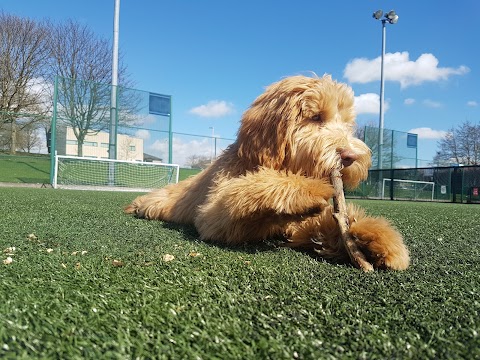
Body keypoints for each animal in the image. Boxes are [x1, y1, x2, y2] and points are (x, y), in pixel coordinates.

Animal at [125, 74, 410, 270]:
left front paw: (374, 239)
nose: (351, 156)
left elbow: (325, 227)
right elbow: (242, 195)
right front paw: (305, 189)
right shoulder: (212, 216)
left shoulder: (302, 226)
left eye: (348, 124)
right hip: (159, 203)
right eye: (316, 117)